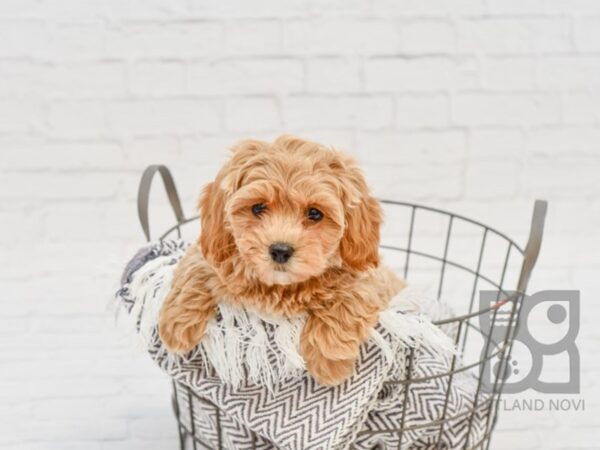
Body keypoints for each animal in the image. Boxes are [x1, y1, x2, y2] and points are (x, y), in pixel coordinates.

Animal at [157, 135, 406, 384]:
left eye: (315, 213)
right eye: (258, 207)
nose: (280, 250)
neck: (280, 287)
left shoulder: (372, 280)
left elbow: (349, 296)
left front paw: (329, 361)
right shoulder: (215, 253)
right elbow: (196, 269)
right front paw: (176, 328)